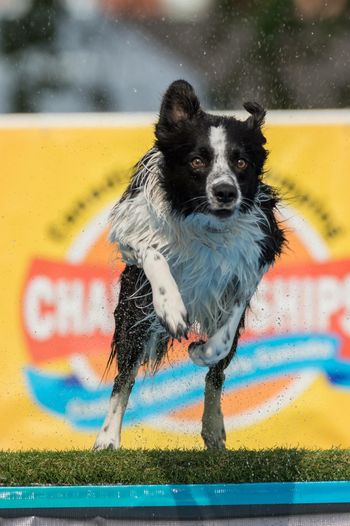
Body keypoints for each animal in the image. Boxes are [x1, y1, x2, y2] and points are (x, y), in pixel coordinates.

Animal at [93, 80, 284, 452]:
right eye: (197, 160)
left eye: (241, 162)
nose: (225, 192)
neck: (203, 223)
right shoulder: (131, 232)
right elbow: (154, 253)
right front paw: (171, 307)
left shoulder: (255, 257)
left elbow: (223, 338)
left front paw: (201, 350)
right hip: (133, 314)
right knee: (124, 375)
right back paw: (108, 436)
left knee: (217, 377)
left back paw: (213, 429)